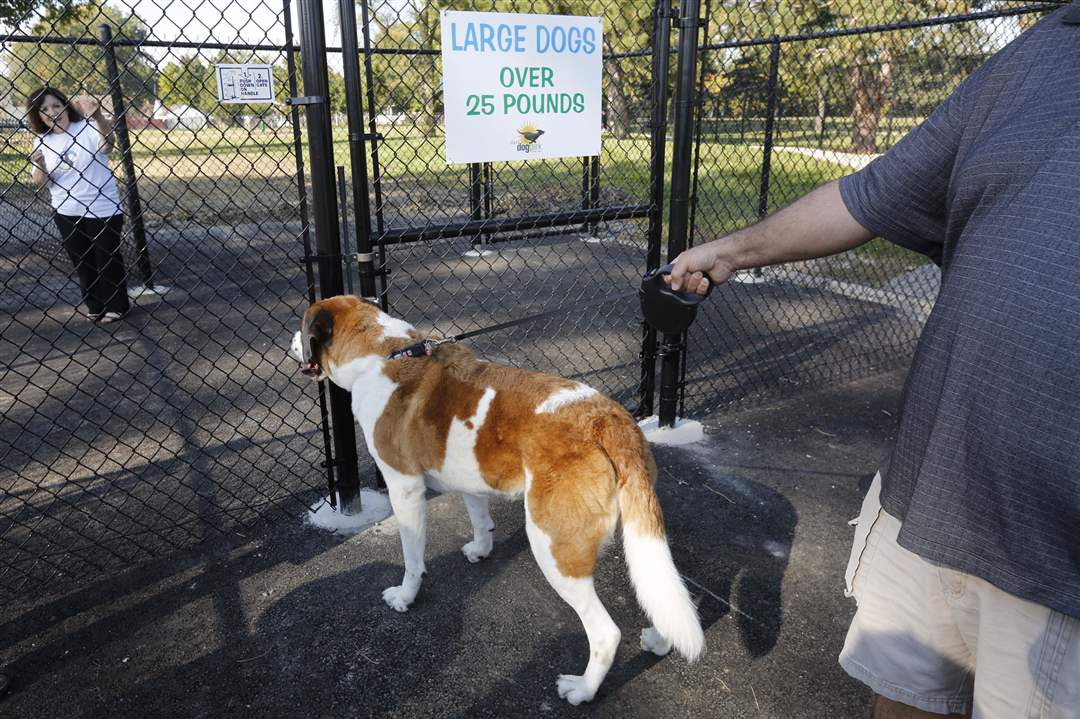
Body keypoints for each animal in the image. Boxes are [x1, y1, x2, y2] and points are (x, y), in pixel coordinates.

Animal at [291, 293, 704, 703]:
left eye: (301, 327)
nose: (291, 344)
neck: (383, 353)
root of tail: (608, 421)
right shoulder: (470, 477)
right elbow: (479, 517)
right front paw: (481, 549)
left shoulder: (404, 487)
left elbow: (412, 556)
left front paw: (406, 596)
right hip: (633, 534)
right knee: (655, 587)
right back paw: (660, 640)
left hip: (552, 547)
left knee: (606, 633)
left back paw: (582, 689)